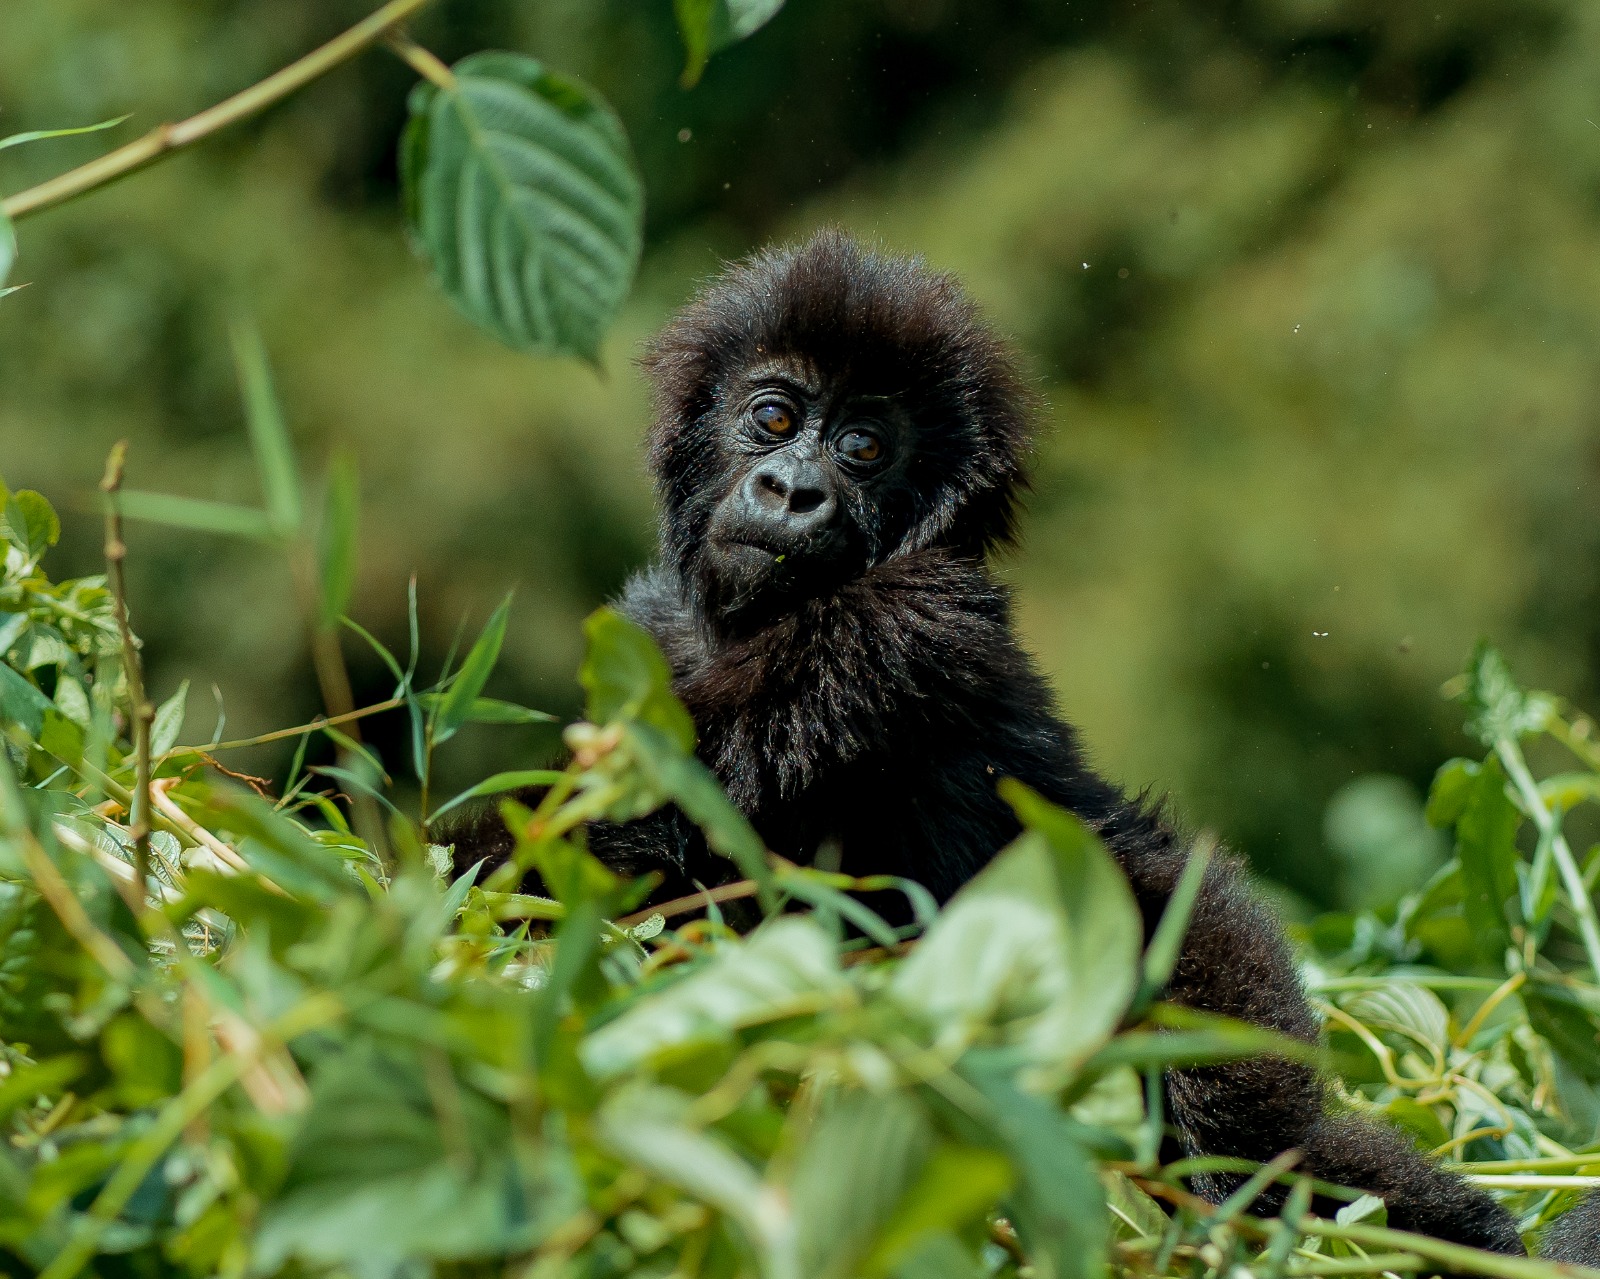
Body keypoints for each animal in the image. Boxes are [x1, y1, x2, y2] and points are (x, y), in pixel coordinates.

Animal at [451, 229, 1597, 1260]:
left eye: (863, 447)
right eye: (771, 417)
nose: (790, 490)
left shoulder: (910, 624)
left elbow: (626, 841)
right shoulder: (650, 630)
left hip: (1206, 968)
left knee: (1261, 1152)